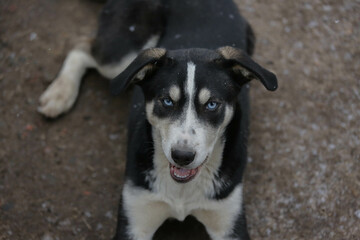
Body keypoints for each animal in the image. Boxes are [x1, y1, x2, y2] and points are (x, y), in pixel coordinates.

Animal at [38, 0, 278, 240]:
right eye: (167, 101)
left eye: (212, 104)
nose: (182, 156)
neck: (181, 191)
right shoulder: (135, 217)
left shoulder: (228, 220)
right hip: (122, 56)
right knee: (82, 45)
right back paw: (59, 94)